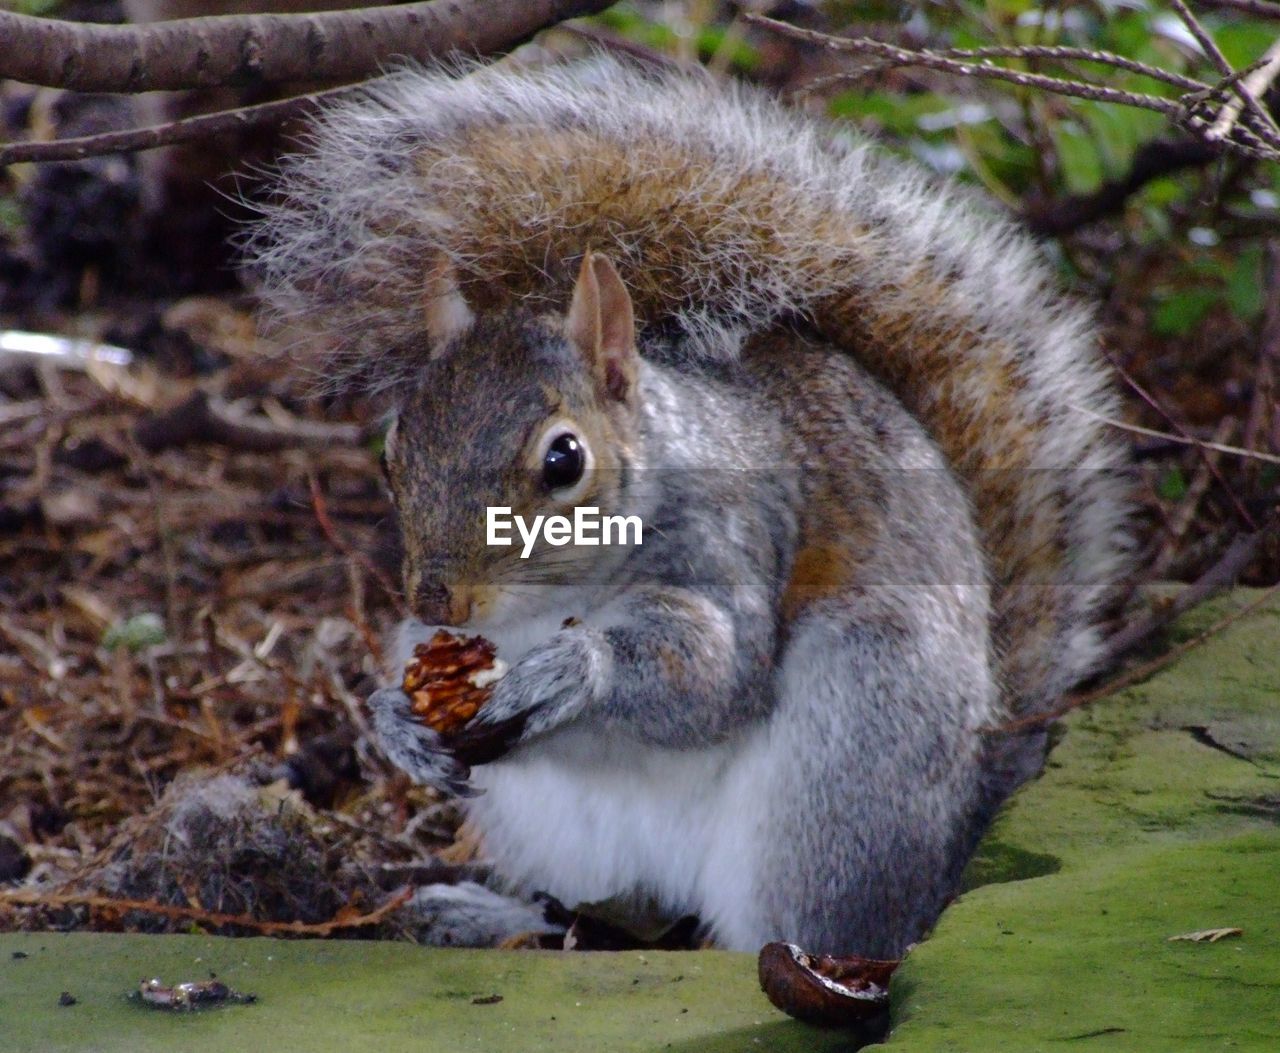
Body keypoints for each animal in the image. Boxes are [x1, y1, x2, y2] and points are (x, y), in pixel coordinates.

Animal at [247, 59, 1131, 962]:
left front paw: (579, 668)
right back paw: (486, 914)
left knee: (791, 927)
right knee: (598, 916)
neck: (552, 601)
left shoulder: (732, 539)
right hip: (560, 835)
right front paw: (394, 720)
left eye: (564, 460)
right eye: (391, 453)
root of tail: (962, 834)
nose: (438, 597)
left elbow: (716, 673)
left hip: (851, 750)